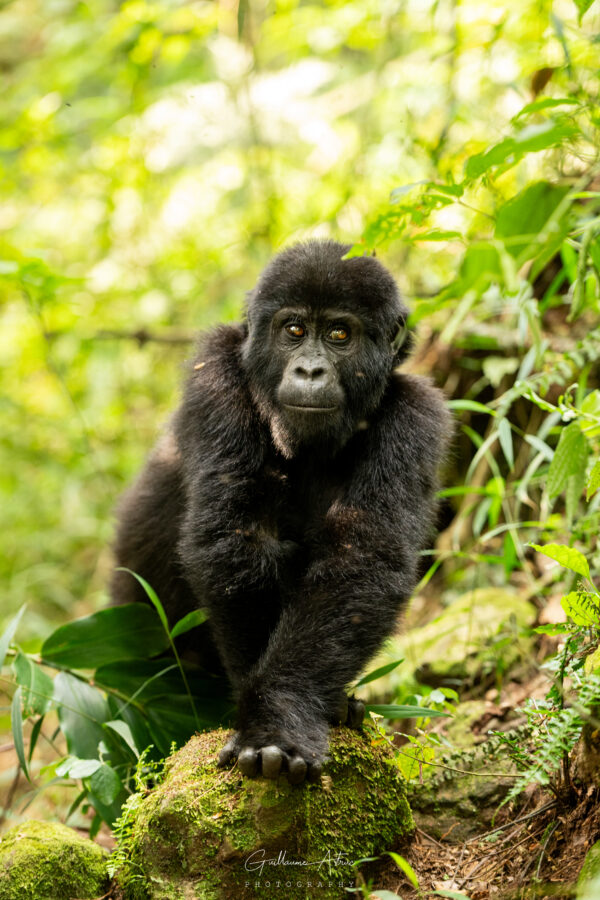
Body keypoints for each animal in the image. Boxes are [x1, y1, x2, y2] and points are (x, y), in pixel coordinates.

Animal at [111, 243, 450, 784]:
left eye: (339, 334)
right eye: (293, 330)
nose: (310, 371)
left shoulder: (418, 416)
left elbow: (361, 560)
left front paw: (283, 712)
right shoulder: (214, 373)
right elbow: (237, 538)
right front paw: (273, 720)